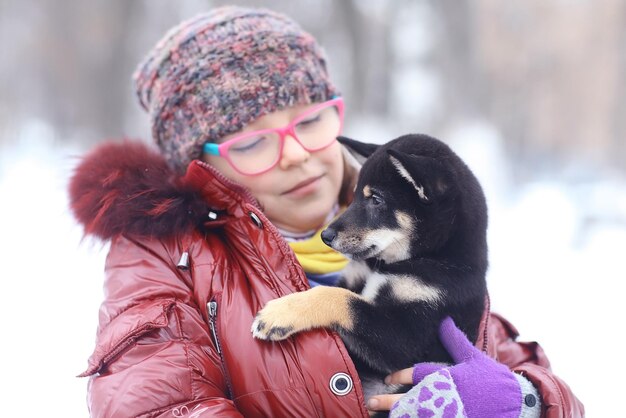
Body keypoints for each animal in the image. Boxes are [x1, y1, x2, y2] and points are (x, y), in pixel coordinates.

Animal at [251, 136, 486, 404]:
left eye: (376, 199)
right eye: (354, 197)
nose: (325, 236)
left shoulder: (414, 336)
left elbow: (340, 299)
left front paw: (279, 313)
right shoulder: (355, 278)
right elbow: (339, 292)